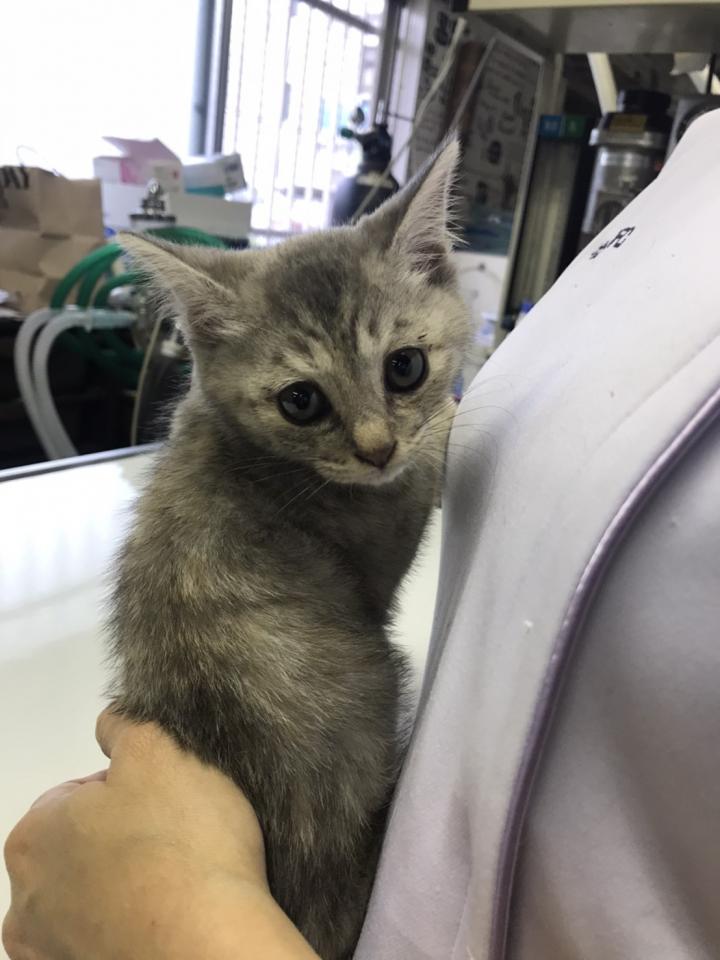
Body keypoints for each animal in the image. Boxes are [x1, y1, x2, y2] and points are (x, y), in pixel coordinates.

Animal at [109, 137, 470, 959]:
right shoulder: (382, 549)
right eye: (301, 400)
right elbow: (420, 478)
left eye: (405, 365)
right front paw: (445, 428)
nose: (377, 449)